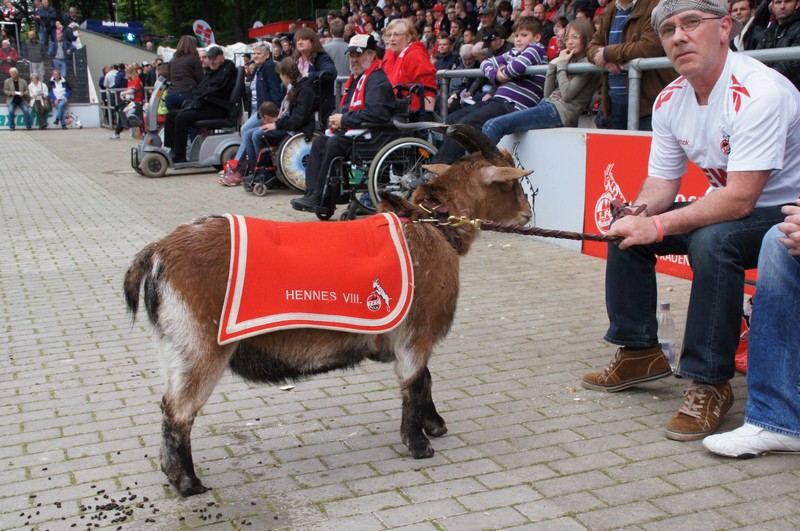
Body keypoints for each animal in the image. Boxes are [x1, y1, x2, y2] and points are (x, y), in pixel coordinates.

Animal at [124, 124, 533, 496]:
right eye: (513, 183)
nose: (528, 213)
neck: (432, 227)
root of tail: (158, 253)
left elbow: (425, 380)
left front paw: (434, 425)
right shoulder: (417, 332)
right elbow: (415, 383)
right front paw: (419, 443)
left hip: (176, 348)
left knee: (168, 405)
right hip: (201, 347)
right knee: (178, 411)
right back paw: (188, 483)